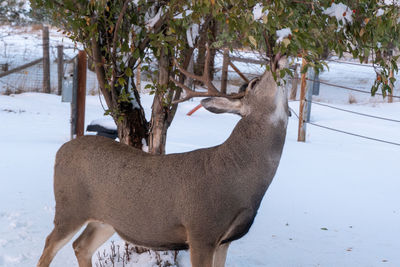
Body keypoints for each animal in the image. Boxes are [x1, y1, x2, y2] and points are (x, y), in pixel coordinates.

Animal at [37, 48, 290, 267]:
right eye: (256, 82)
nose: (278, 56)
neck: (239, 175)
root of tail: (60, 151)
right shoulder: (201, 231)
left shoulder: (224, 242)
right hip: (70, 206)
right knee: (50, 245)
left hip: (105, 219)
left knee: (81, 246)